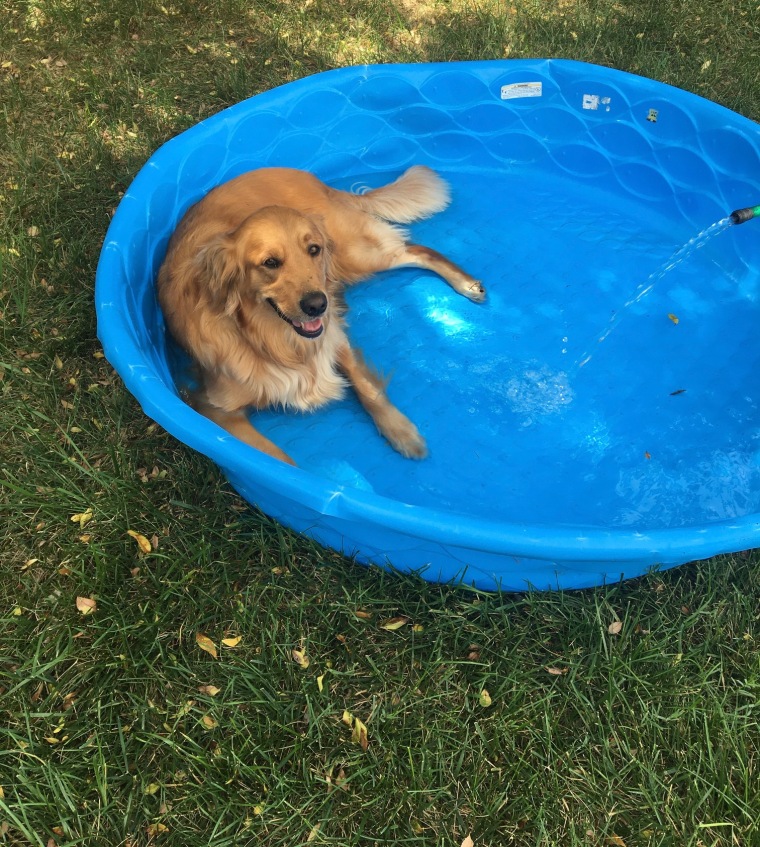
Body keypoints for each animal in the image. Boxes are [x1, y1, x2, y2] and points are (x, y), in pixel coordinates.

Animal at [157, 166, 484, 468]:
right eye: (270, 263)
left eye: (313, 249)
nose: (318, 305)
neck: (274, 341)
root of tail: (314, 180)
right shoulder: (215, 410)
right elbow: (278, 462)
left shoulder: (334, 336)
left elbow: (366, 387)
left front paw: (401, 431)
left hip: (353, 256)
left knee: (417, 250)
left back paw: (467, 284)